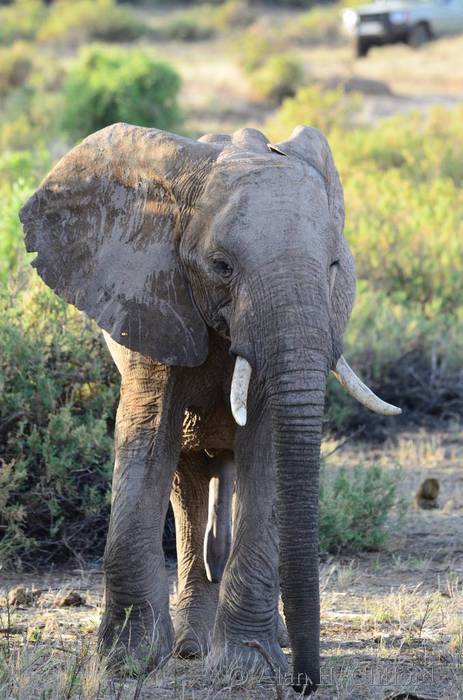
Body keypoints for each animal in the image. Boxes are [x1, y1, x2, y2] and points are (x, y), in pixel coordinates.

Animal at [19, 123, 401, 694]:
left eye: (336, 267)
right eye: (222, 267)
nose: (305, 683)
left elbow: (266, 451)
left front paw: (248, 667)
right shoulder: (152, 299)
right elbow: (146, 437)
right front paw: (125, 664)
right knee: (189, 481)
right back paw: (191, 647)